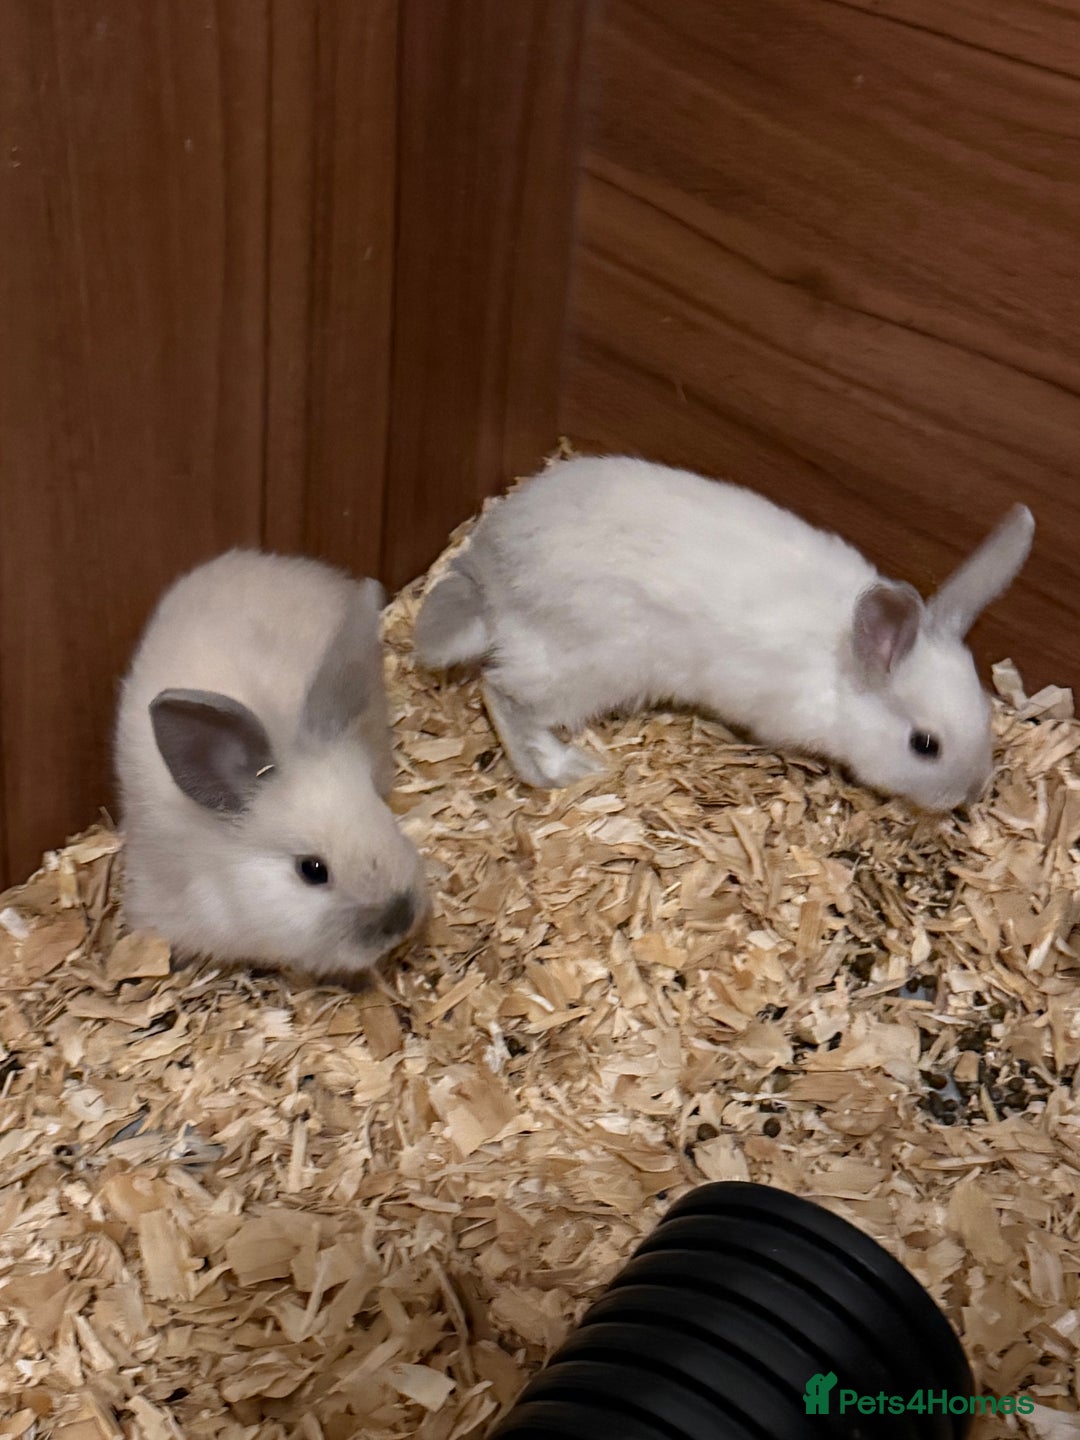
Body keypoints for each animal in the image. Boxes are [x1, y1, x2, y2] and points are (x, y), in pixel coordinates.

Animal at [415, 455, 1034, 812]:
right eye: (925, 746)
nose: (969, 795)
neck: (841, 668)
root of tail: (491, 571)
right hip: (587, 667)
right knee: (502, 693)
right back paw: (561, 769)